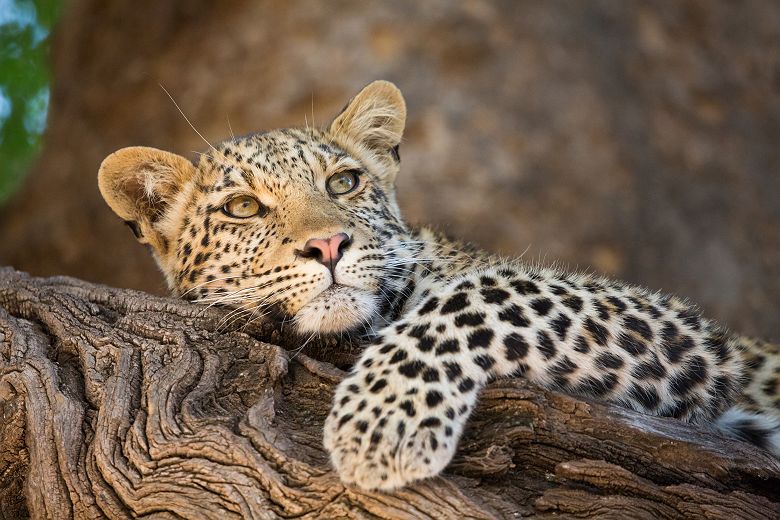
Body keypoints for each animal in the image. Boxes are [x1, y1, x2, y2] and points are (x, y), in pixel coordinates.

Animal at [97, 79, 780, 490]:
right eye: (241, 208)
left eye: (344, 183)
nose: (329, 246)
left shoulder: (683, 334)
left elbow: (485, 294)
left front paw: (381, 425)